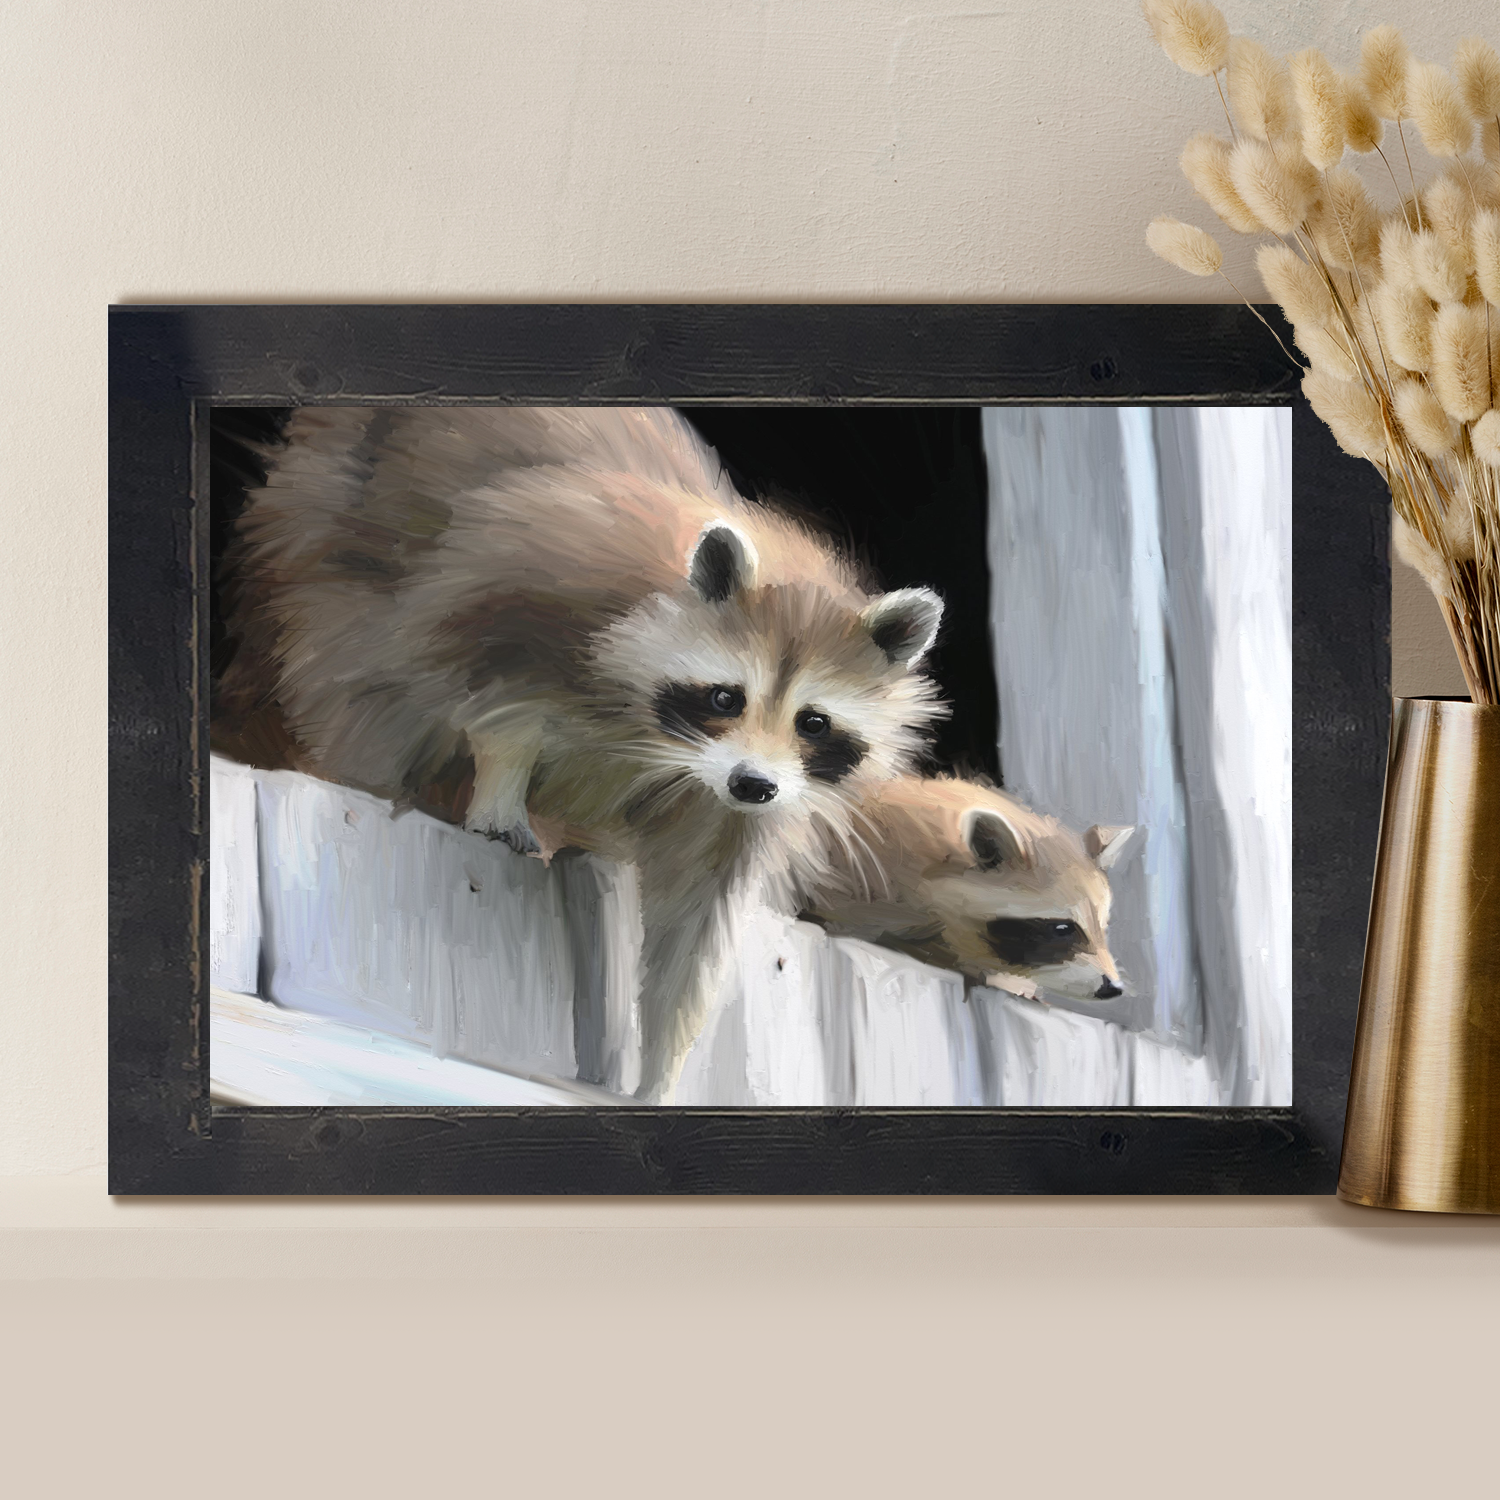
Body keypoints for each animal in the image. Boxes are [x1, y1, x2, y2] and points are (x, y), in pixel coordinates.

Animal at [216, 406, 946, 1102]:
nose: (753, 783)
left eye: (813, 723)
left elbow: (695, 917)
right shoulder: (530, 582)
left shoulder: (731, 806)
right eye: (726, 697)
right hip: (320, 562)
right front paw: (502, 781)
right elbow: (495, 693)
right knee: (362, 699)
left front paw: (662, 1067)